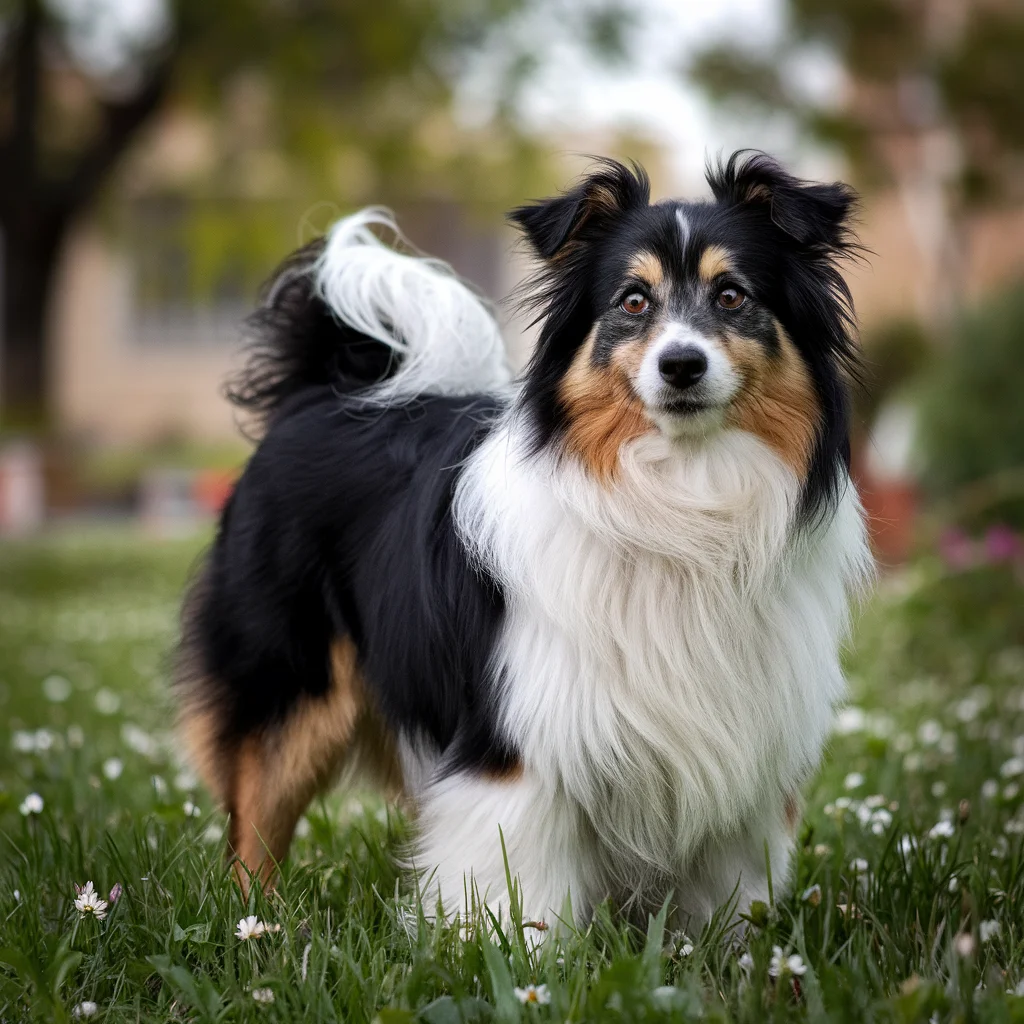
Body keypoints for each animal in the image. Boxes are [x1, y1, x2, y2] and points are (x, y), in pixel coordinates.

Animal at [174, 149, 872, 929]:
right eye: (633, 302)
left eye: (731, 296)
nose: (681, 365)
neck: (679, 496)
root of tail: (319, 392)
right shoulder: (516, 743)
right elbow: (520, 887)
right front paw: (514, 950)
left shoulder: (742, 750)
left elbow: (725, 892)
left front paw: (726, 951)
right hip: (287, 683)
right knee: (254, 822)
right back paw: (255, 927)